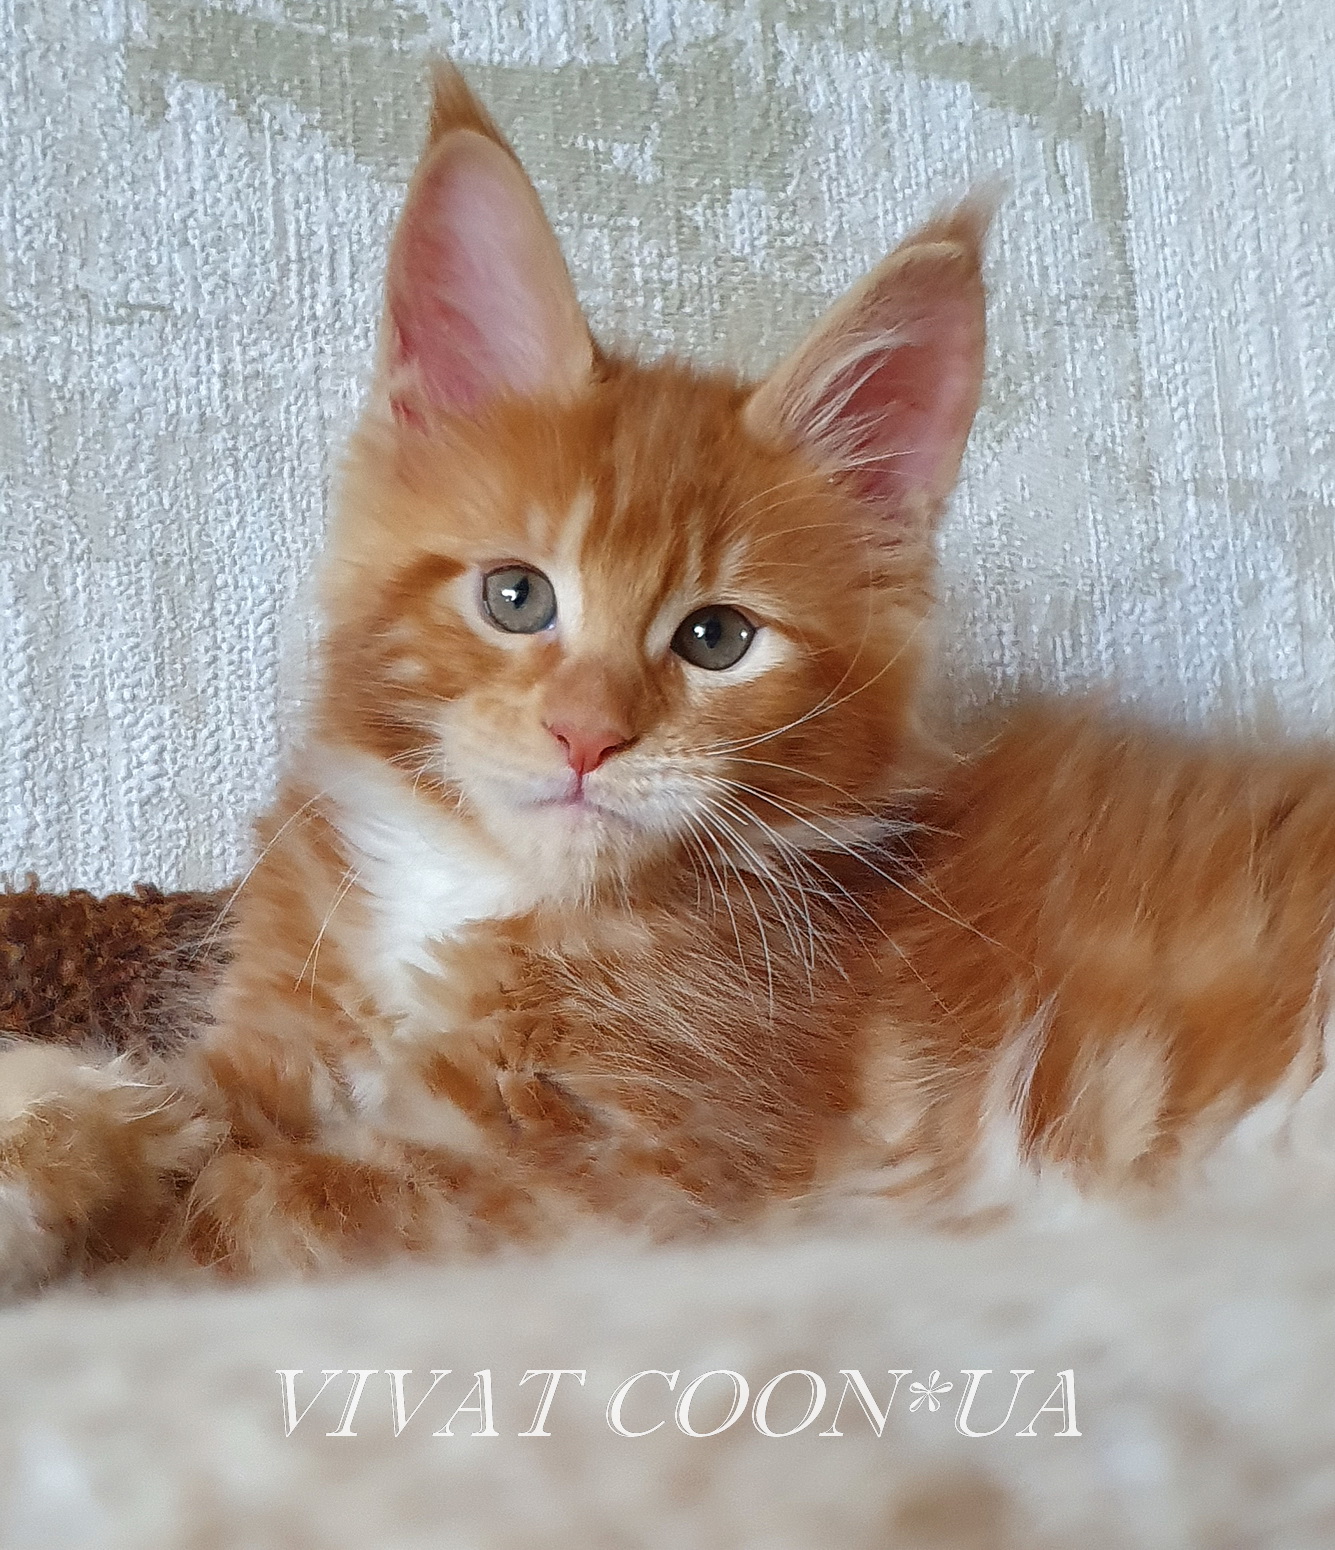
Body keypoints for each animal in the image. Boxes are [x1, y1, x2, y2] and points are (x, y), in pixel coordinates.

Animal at [3, 61, 1333, 1293]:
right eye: (517, 596)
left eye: (716, 639)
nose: (587, 736)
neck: (479, 886)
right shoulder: (278, 1036)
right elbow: (174, 1101)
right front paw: (59, 1126)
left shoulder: (610, 1184)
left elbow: (252, 1204)